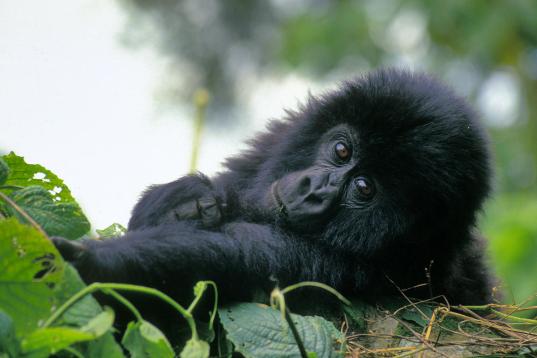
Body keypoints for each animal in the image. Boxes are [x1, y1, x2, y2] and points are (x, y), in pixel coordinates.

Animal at [53, 68, 494, 314]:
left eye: (364, 187)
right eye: (342, 150)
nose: (314, 189)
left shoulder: (349, 269)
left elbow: (229, 255)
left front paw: (95, 263)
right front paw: (185, 198)